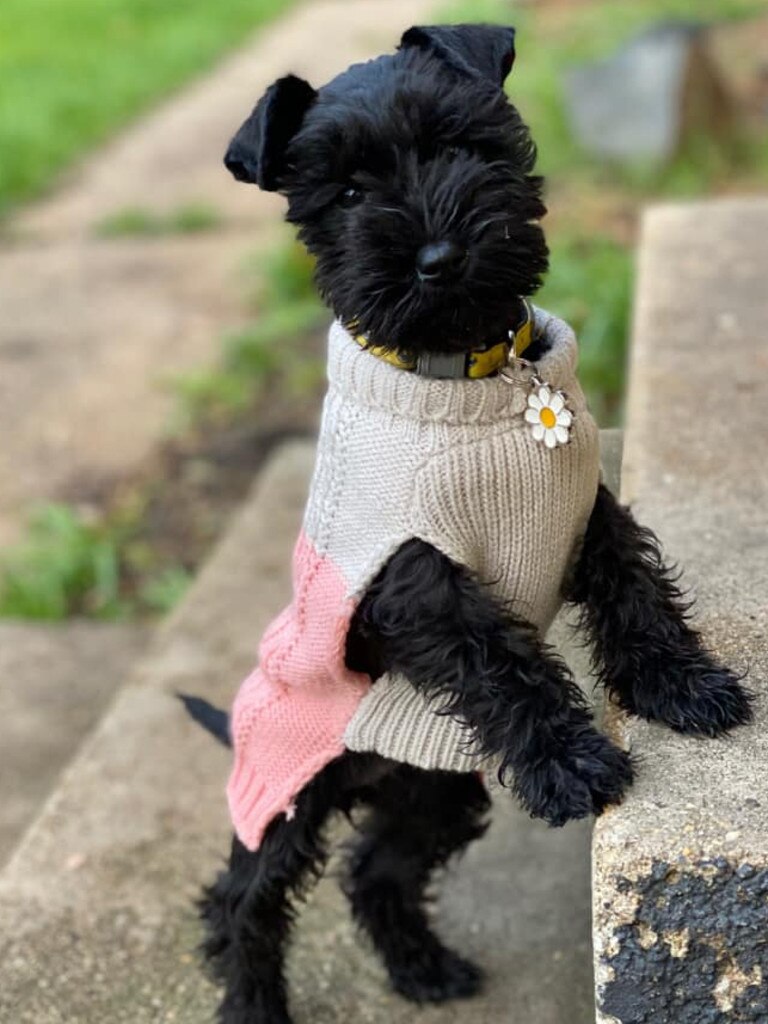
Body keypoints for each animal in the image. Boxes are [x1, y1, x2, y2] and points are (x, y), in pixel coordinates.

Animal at [195, 24, 753, 1024]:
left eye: (457, 142)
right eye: (345, 193)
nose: (437, 256)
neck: (476, 376)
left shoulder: (587, 510)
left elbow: (636, 592)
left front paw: (682, 685)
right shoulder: (419, 580)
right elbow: (503, 663)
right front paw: (572, 763)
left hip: (433, 792)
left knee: (378, 869)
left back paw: (424, 969)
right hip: (287, 795)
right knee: (242, 904)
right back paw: (258, 1004)